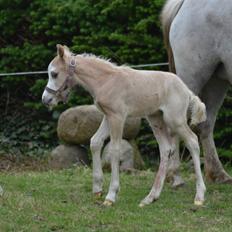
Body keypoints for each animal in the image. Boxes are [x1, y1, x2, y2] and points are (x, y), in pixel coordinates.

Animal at [42, 44, 207, 207]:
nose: (45, 100)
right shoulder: (108, 116)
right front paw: (97, 189)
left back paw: (199, 196)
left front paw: (111, 195)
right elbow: (95, 142)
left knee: (192, 141)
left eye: (54, 74)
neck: (105, 80)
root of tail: (186, 89)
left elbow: (115, 149)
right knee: (166, 149)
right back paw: (150, 197)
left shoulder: (118, 117)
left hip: (175, 120)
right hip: (155, 119)